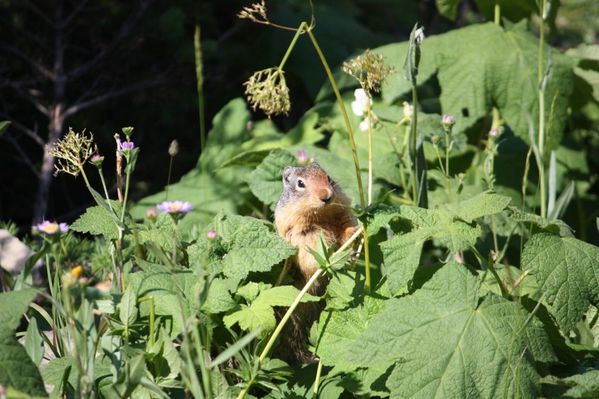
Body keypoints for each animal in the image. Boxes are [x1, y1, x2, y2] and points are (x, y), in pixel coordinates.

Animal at [274, 162, 358, 366]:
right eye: (300, 183)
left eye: (328, 177)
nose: (326, 196)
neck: (320, 216)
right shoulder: (304, 236)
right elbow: (314, 256)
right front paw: (335, 257)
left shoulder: (343, 214)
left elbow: (346, 227)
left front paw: (355, 235)